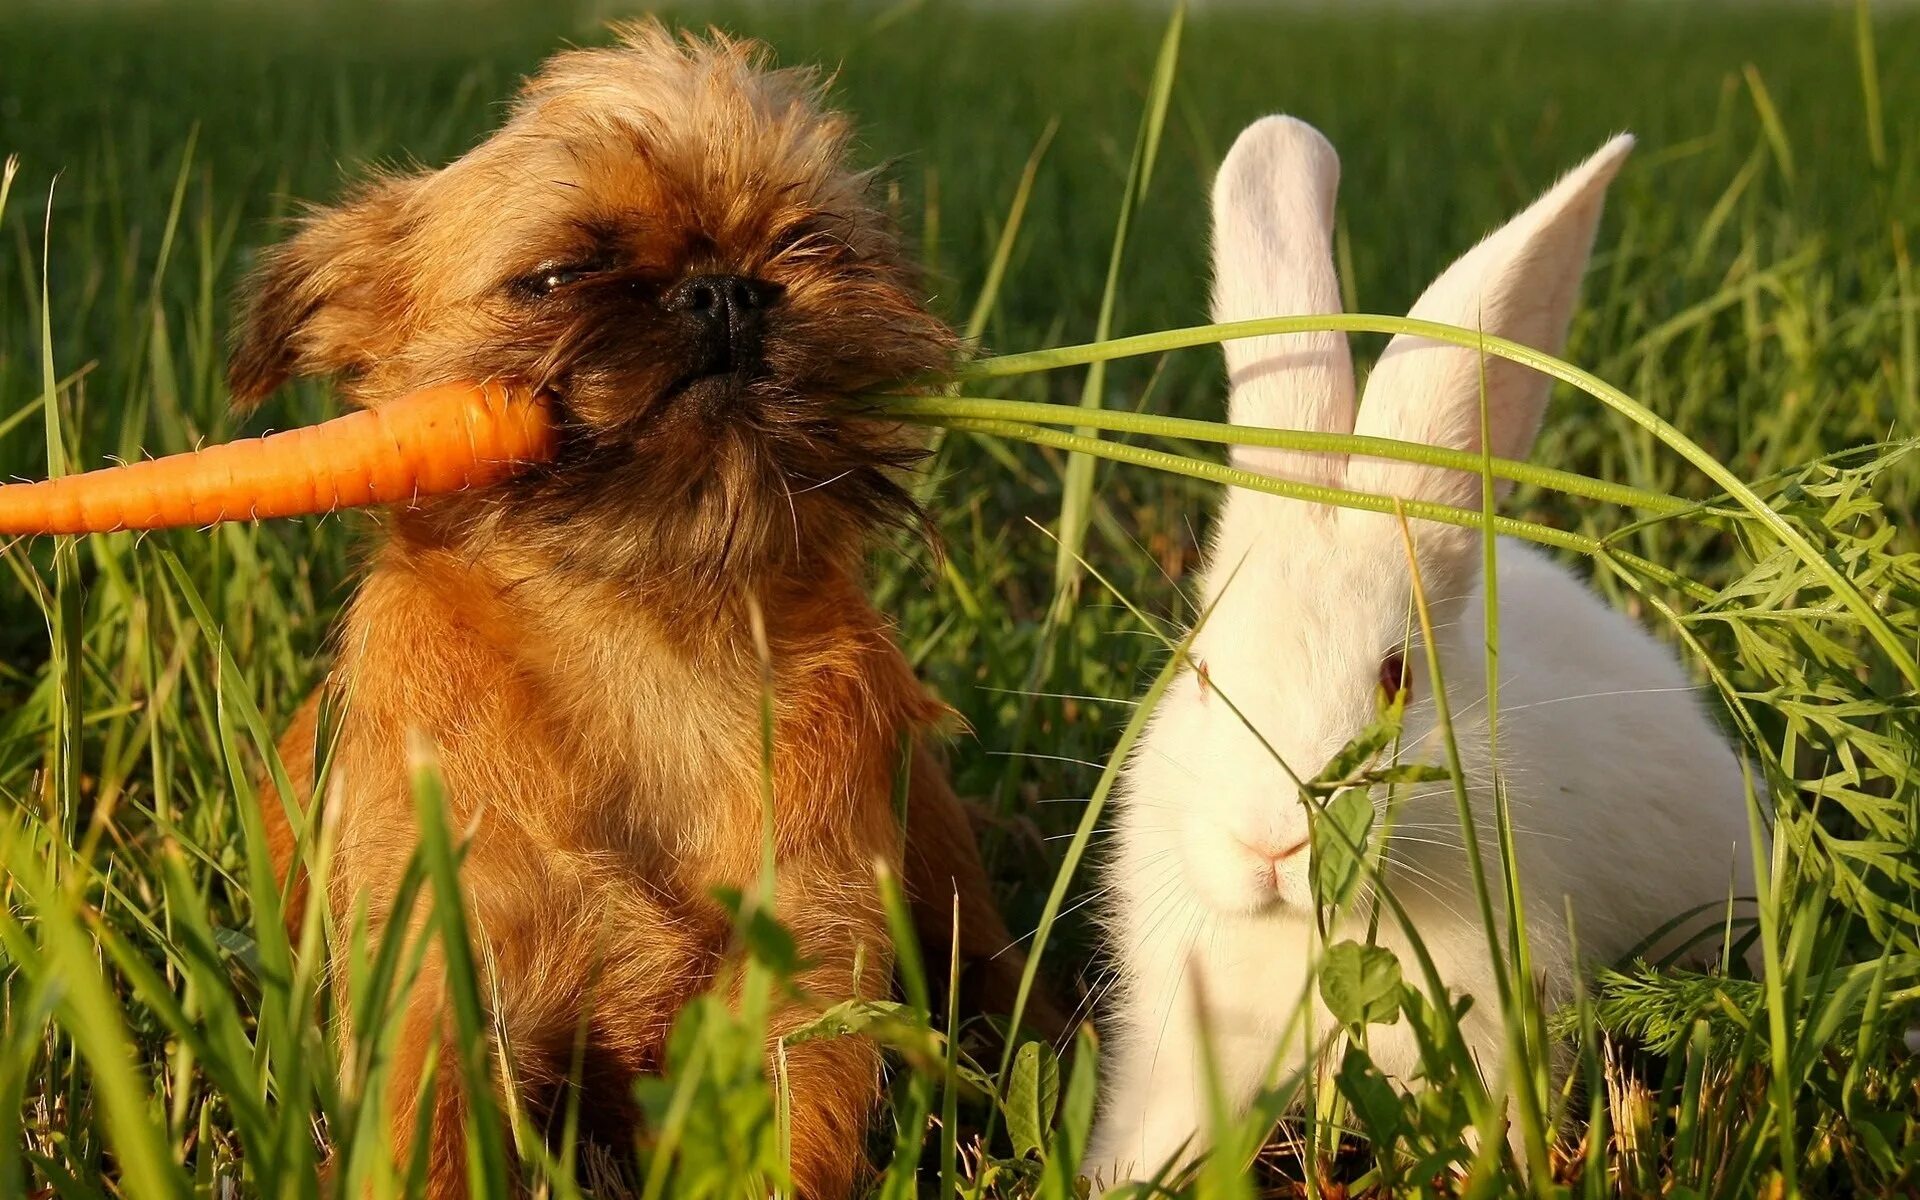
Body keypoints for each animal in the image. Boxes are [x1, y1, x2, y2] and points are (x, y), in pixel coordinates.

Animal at [236, 23, 1052, 1190]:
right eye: (557, 276)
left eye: (810, 242)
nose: (723, 290)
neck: (649, 638)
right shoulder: (437, 985)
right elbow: (428, 1148)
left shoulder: (805, 977)